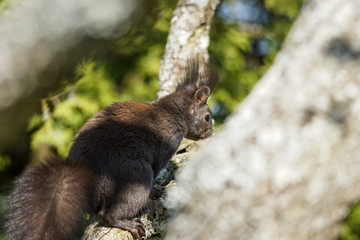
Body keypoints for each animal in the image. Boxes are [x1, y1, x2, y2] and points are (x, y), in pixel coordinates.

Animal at [5, 58, 218, 240]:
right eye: (208, 117)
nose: (211, 133)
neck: (172, 112)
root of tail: (87, 172)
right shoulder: (166, 145)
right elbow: (157, 168)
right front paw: (156, 191)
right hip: (134, 175)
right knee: (108, 213)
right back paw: (128, 223)